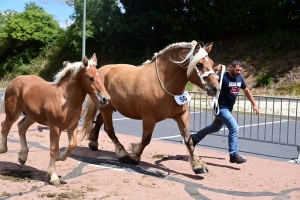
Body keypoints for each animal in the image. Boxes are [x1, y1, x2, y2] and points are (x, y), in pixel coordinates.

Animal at [0, 54, 110, 185]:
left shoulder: (72, 125)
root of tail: (14, 80)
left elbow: (72, 145)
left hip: (32, 116)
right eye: (90, 78)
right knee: (5, 126)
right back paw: (3, 149)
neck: (65, 99)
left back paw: (22, 157)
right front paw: (53, 176)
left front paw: (59, 157)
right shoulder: (55, 127)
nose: (106, 99)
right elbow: (53, 148)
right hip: (13, 113)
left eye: (101, 77)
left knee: (21, 127)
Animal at [82, 40, 220, 173]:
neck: (165, 85)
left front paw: (198, 165)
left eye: (212, 63)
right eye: (199, 64)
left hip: (108, 107)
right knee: (109, 129)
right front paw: (134, 155)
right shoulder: (149, 119)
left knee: (100, 121)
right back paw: (122, 153)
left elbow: (188, 139)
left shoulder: (182, 115)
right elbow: (146, 139)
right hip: (106, 108)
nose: (216, 88)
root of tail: (100, 70)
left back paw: (94, 142)